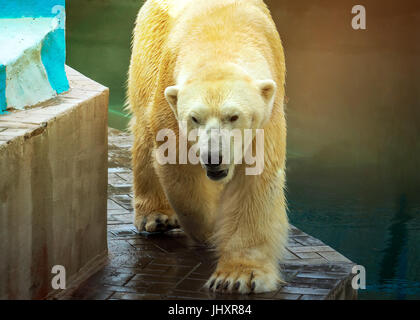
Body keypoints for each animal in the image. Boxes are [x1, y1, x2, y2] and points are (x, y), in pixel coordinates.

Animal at [126, 0, 288, 296]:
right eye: (195, 117)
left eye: (233, 116)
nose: (214, 158)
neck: (221, 42)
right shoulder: (169, 88)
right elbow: (178, 162)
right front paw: (211, 231)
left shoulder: (268, 114)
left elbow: (255, 180)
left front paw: (238, 276)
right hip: (147, 50)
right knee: (143, 128)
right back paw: (156, 216)